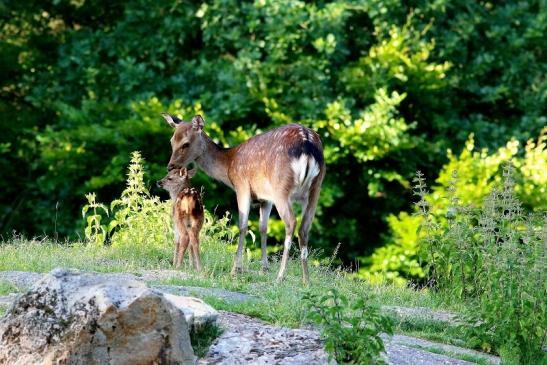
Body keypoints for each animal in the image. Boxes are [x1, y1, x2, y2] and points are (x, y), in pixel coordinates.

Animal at [163, 112, 326, 282]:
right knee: (304, 228)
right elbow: (263, 227)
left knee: (291, 223)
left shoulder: (242, 186)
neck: (229, 166)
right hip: (316, 188)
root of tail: (307, 144)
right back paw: (306, 279)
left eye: (186, 144)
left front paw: (235, 269)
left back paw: (280, 276)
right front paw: (264, 269)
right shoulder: (266, 198)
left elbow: (242, 226)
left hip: (281, 188)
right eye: (172, 141)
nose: (170, 166)